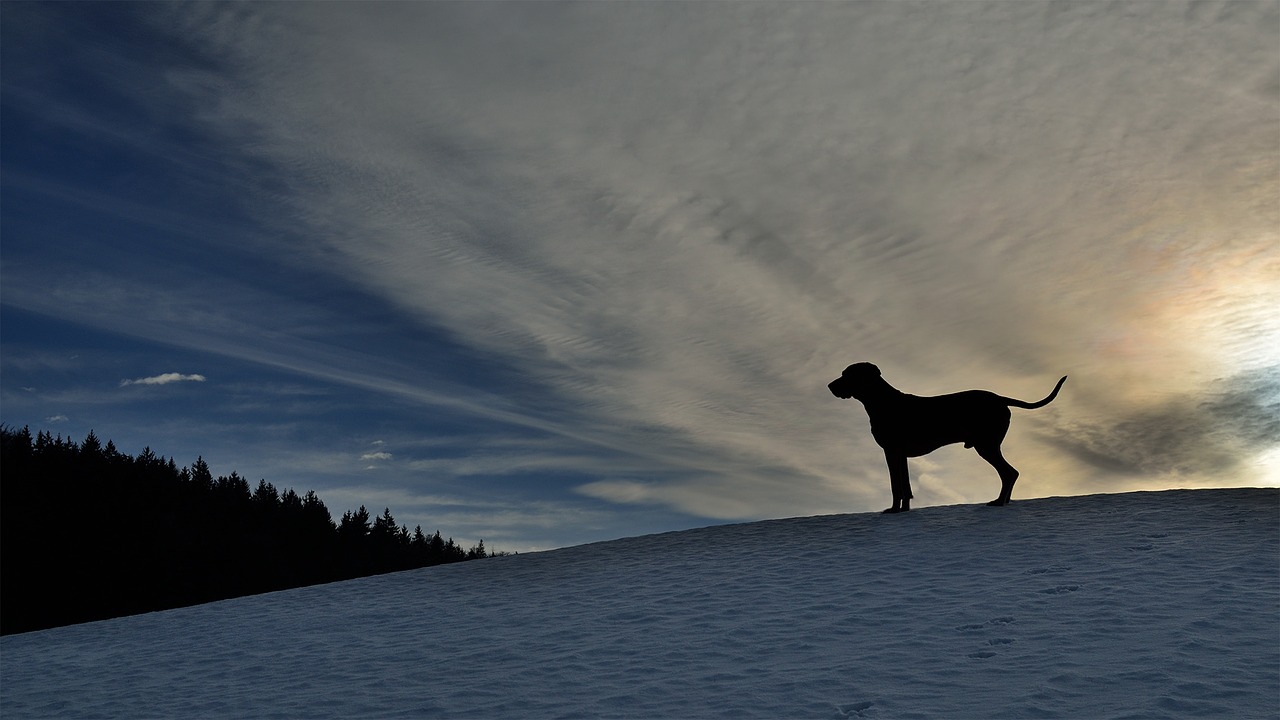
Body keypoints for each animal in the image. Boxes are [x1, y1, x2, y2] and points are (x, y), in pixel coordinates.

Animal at [824, 363, 1064, 509]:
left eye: (847, 375)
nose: (829, 386)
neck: (882, 402)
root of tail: (999, 398)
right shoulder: (901, 455)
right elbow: (905, 487)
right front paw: (902, 511)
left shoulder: (891, 451)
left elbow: (895, 486)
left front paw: (893, 510)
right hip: (987, 445)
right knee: (1009, 473)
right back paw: (1002, 501)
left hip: (986, 445)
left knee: (1009, 473)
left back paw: (999, 502)